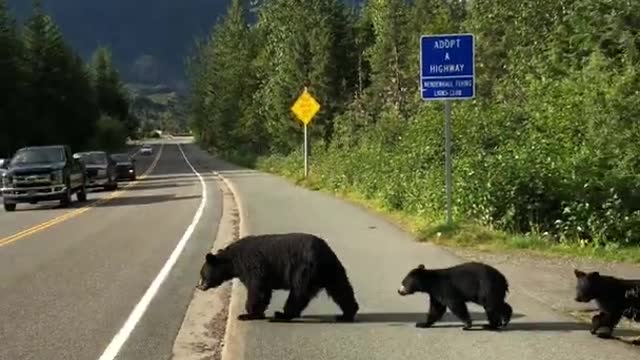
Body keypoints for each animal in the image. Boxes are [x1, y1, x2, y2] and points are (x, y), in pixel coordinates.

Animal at [195, 232, 360, 322]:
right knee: (341, 289)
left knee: (298, 293)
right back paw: (347, 314)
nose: (199, 286)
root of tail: (326, 252)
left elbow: (257, 290)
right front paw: (256, 313)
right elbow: (264, 292)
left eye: (202, 274)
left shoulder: (253, 266)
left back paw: (282, 315)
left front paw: (247, 314)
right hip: (332, 271)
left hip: (304, 270)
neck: (233, 261)